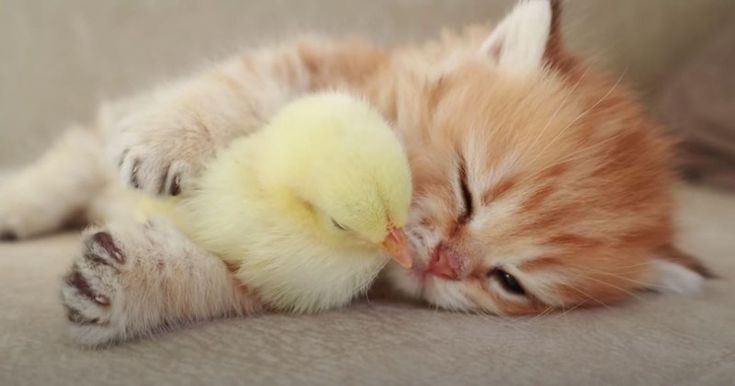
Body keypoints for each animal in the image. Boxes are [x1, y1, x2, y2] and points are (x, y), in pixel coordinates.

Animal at [1, 0, 712, 346]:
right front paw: (171, 137)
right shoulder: (311, 64)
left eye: (508, 282)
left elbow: (215, 276)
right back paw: (17, 204)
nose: (443, 263)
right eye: (467, 189)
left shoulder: (282, 276)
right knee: (66, 165)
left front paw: (131, 284)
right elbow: (241, 82)